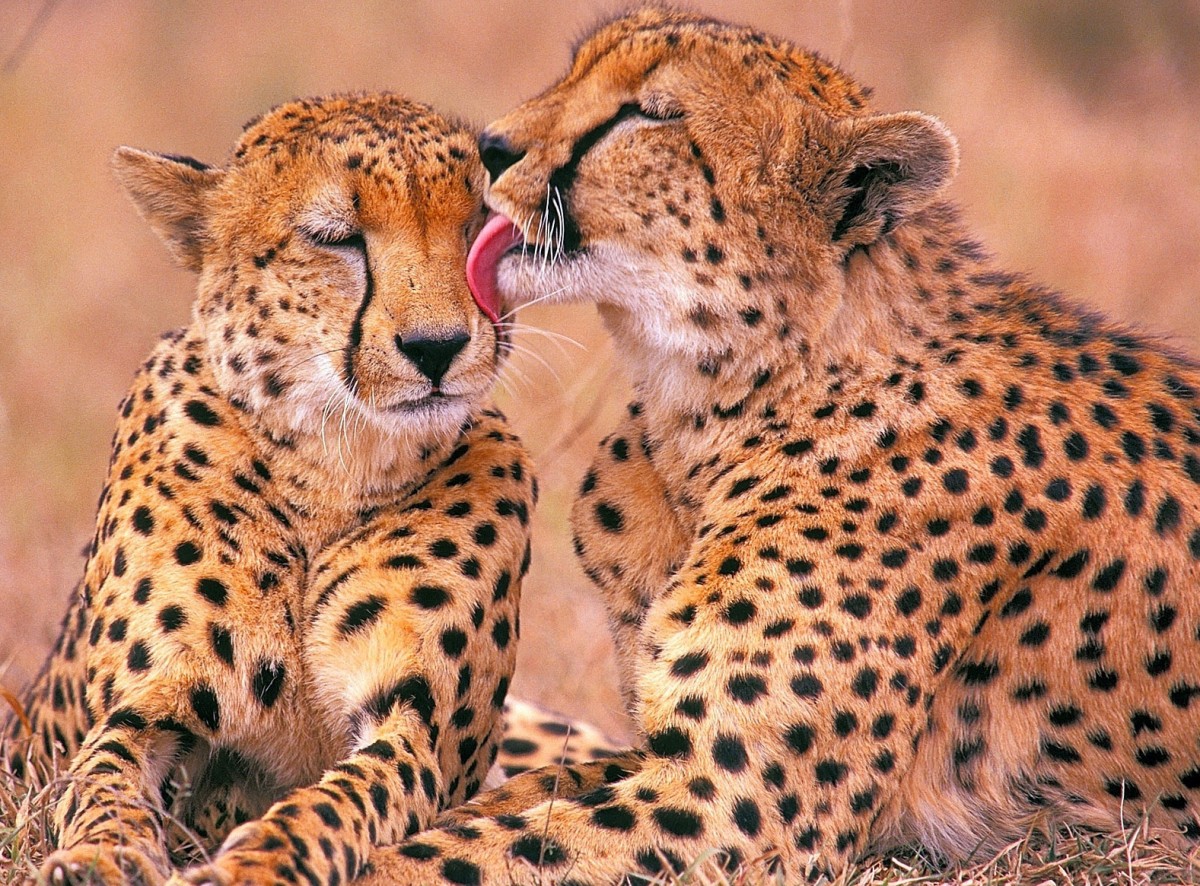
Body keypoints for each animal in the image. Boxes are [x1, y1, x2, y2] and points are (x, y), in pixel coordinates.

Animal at [0, 92, 542, 886]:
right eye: (334, 238)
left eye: (479, 226)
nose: (437, 347)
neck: (333, 466)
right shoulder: (147, 704)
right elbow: (102, 781)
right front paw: (99, 858)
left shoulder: (413, 726)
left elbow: (336, 802)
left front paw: (255, 864)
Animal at [355, 8, 1200, 883]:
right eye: (577, 69)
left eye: (649, 114)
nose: (488, 146)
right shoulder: (663, 757)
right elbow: (502, 801)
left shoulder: (732, 808)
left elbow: (449, 853)